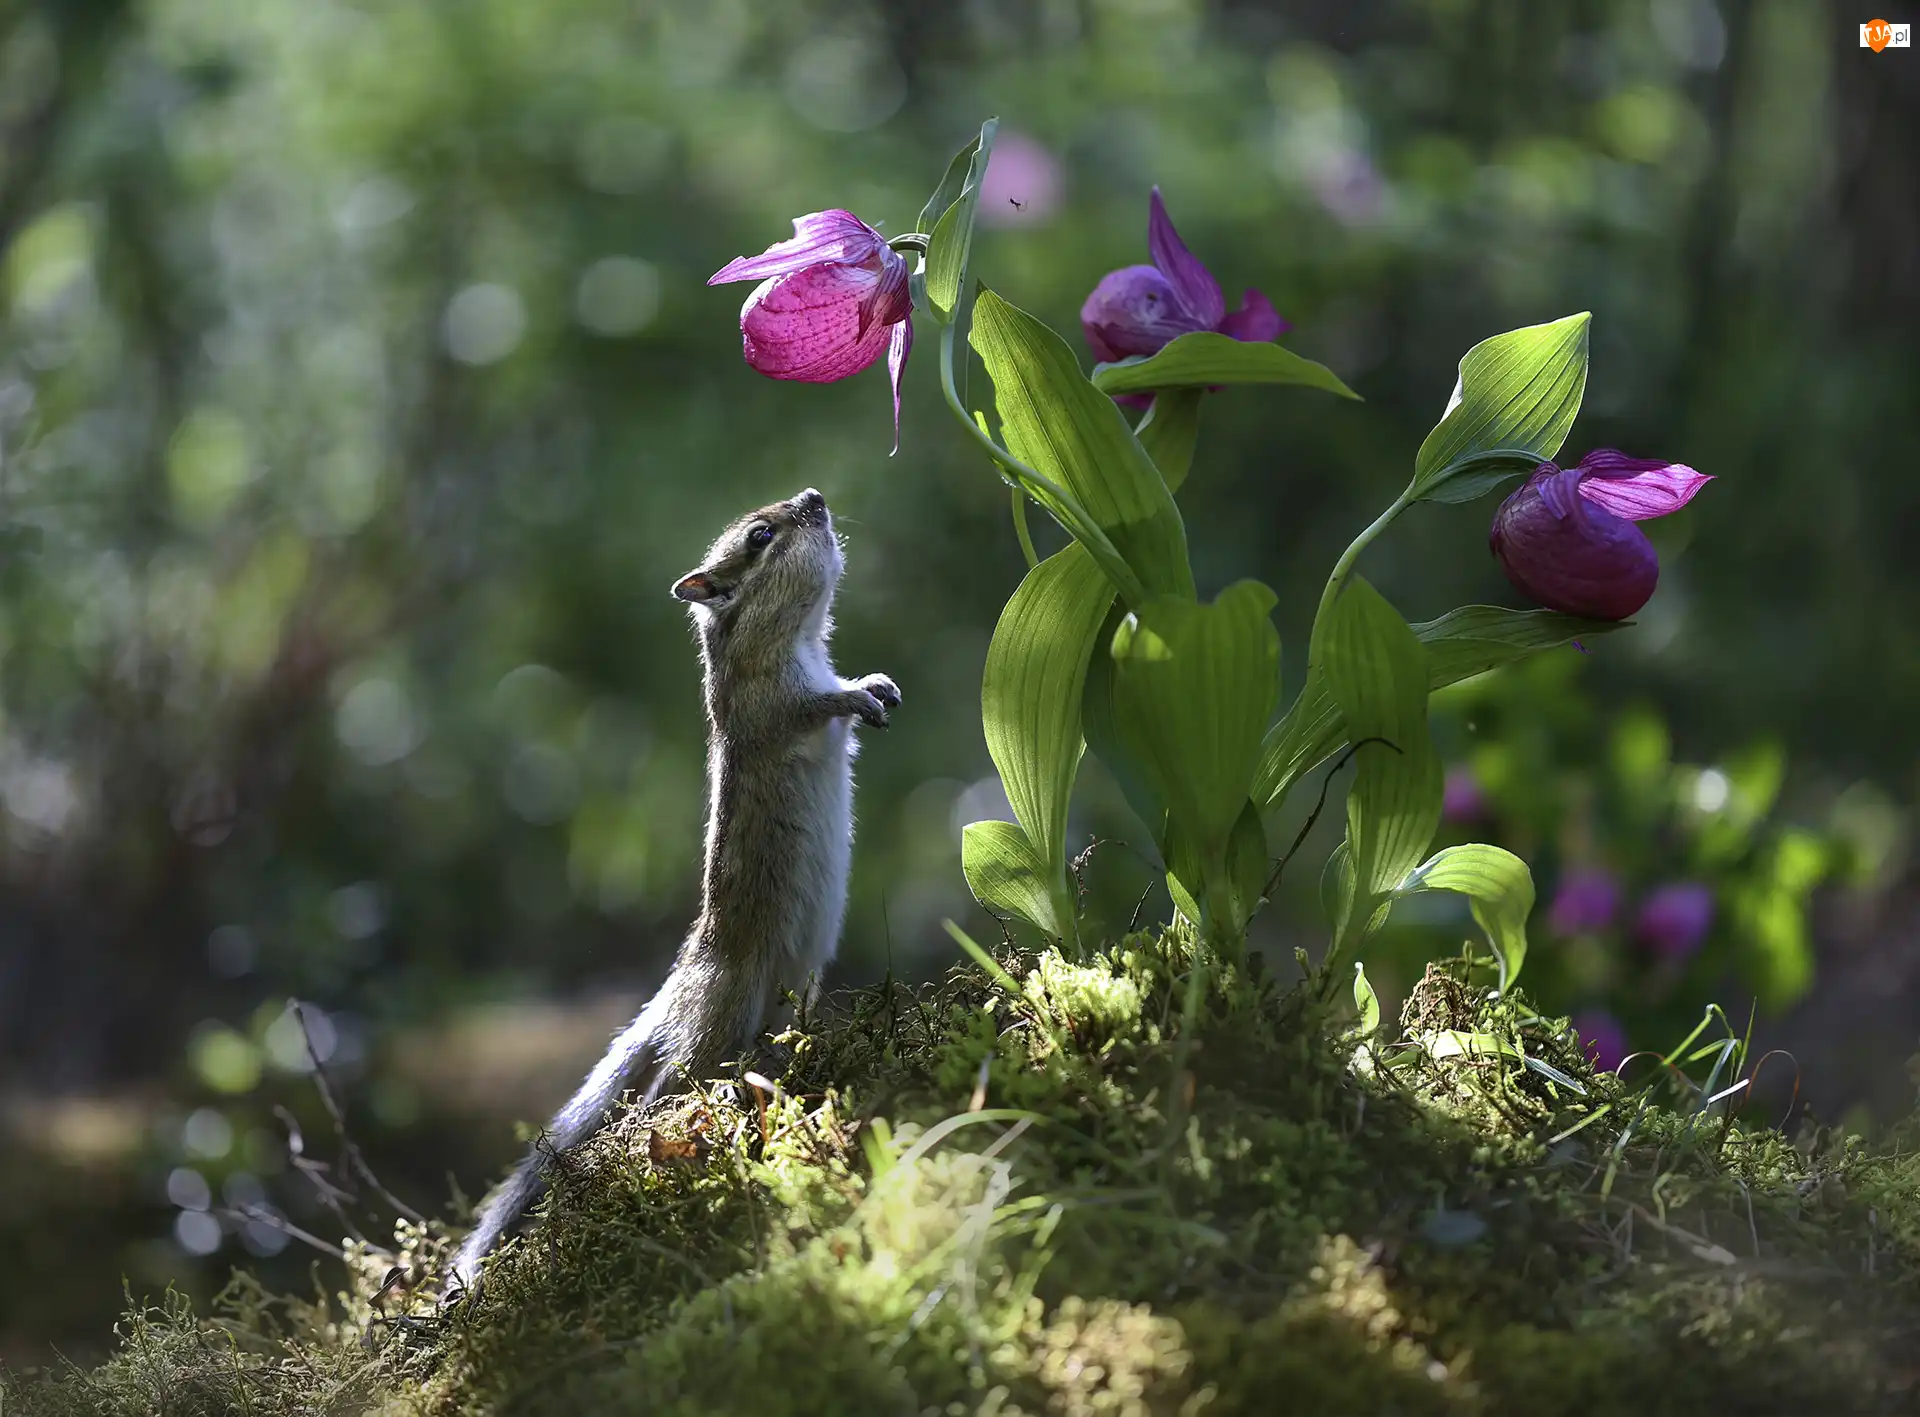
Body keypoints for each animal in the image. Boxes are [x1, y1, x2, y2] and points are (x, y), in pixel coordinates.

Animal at [446, 487, 898, 1299]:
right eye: (761, 535)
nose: (815, 498)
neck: (795, 638)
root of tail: (686, 972)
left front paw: (877, 686)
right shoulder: (774, 703)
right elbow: (816, 708)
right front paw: (854, 695)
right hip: (726, 1010)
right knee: (669, 1084)